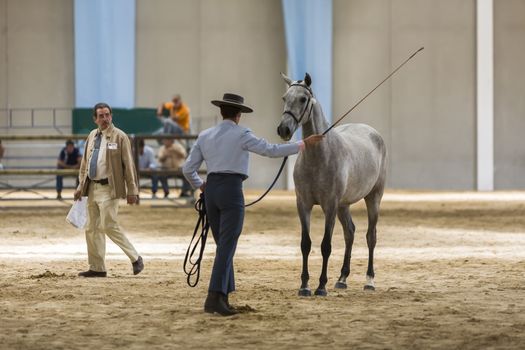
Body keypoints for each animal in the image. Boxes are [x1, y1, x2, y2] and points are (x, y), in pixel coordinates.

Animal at [276, 72, 386, 296]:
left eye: (303, 99)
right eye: (284, 98)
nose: (284, 129)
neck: (318, 156)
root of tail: (372, 132)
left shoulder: (330, 205)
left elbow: (326, 245)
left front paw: (321, 286)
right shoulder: (303, 204)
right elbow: (306, 244)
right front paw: (304, 286)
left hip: (373, 198)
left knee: (371, 236)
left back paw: (369, 280)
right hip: (344, 205)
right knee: (350, 233)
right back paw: (342, 279)